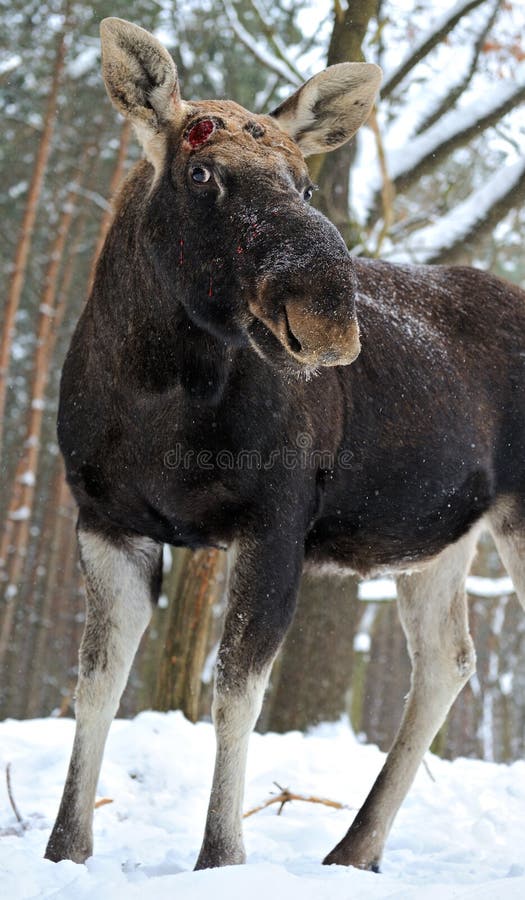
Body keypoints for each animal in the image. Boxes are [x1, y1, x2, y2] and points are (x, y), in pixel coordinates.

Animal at [46, 15, 524, 872]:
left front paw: (221, 855)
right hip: (443, 538)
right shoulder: (105, 517)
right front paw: (65, 848)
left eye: (304, 185)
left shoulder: (274, 521)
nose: (328, 314)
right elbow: (97, 682)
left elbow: (235, 690)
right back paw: (353, 849)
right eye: (202, 173)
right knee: (447, 658)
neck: (158, 396)